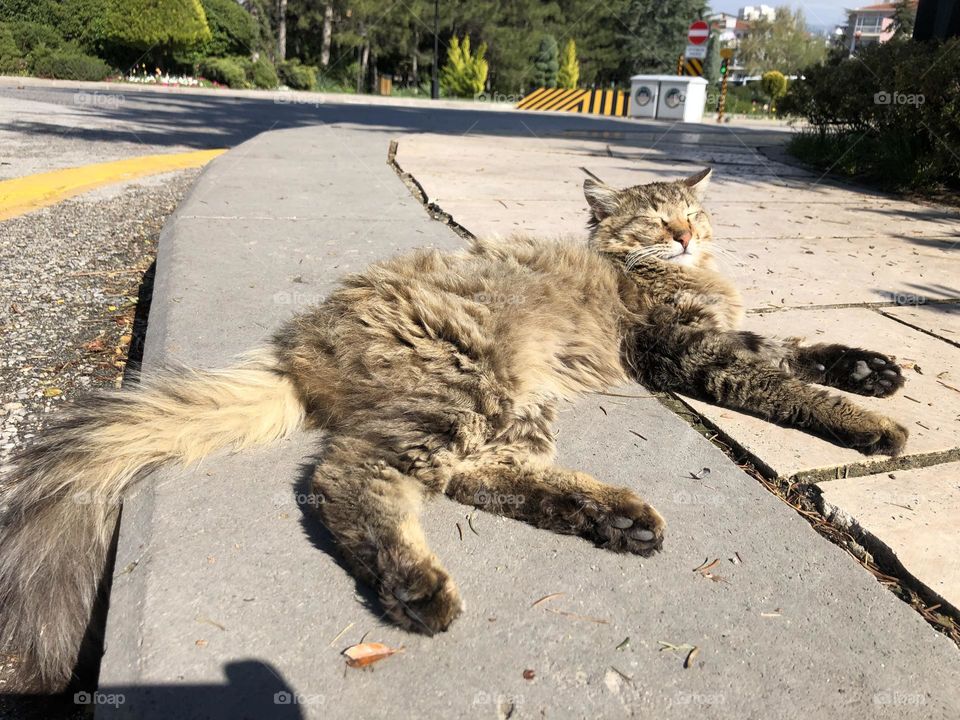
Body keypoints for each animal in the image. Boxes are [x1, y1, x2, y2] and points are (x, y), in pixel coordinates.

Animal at [0, 169, 904, 692]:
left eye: (692, 214)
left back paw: (617, 519)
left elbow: (800, 351)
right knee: (353, 478)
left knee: (474, 476)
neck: (681, 278)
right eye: (654, 225)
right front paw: (870, 425)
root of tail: (302, 343)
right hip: (466, 390)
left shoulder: (727, 337)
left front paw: (870, 371)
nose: (686, 235)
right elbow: (785, 387)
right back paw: (417, 588)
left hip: (513, 406)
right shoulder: (687, 356)